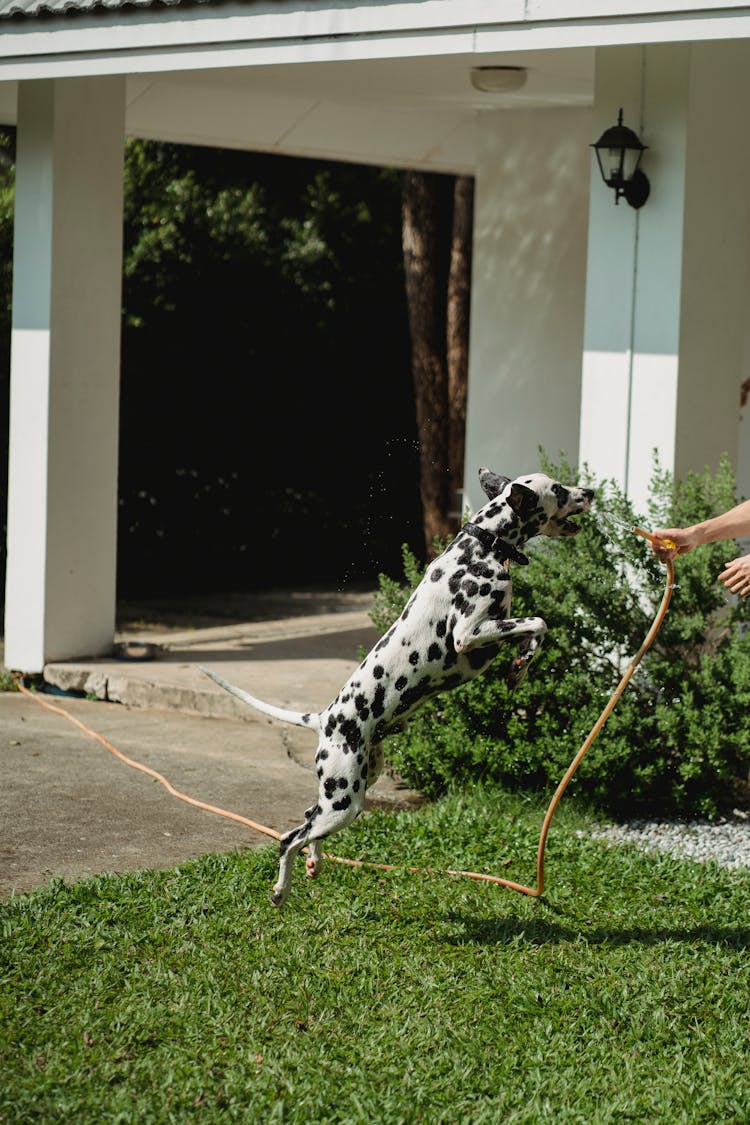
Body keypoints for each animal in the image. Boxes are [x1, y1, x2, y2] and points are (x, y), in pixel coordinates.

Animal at [202, 468, 593, 904]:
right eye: (558, 490)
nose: (590, 491)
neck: (480, 548)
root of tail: (325, 719)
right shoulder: (468, 635)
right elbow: (539, 621)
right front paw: (523, 663)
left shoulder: (491, 633)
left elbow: (534, 629)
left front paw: (521, 665)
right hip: (344, 803)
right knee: (289, 838)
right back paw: (281, 890)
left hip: (352, 789)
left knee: (306, 820)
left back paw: (314, 862)